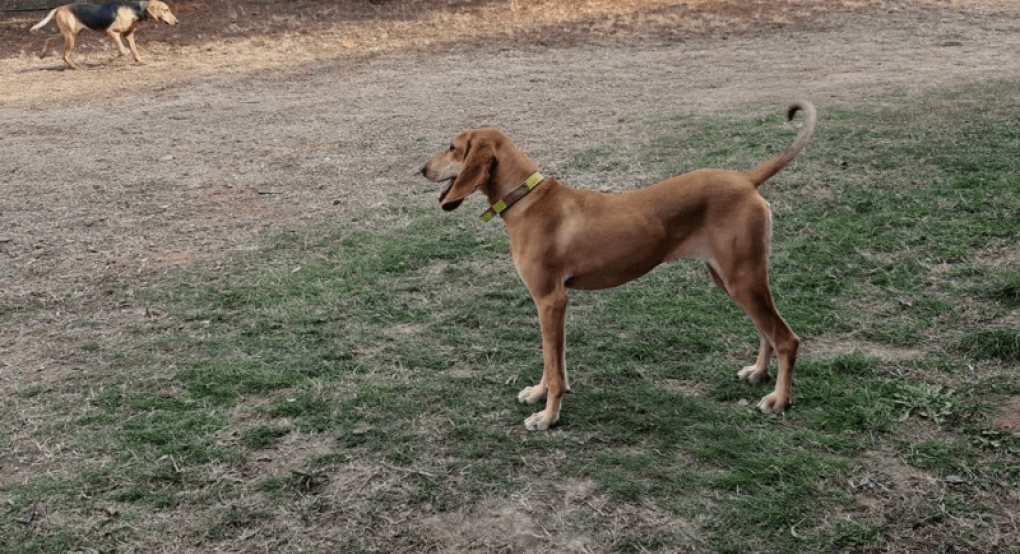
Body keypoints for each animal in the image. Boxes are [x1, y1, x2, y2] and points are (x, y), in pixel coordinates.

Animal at [29, 0, 179, 69]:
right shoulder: (112, 32)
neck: (137, 9)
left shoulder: (129, 35)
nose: (177, 22)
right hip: (71, 37)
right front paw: (117, 57)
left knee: (49, 39)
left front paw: (140, 61)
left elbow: (134, 50)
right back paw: (76, 67)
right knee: (64, 55)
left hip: (69, 34)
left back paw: (42, 54)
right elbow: (123, 50)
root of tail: (59, 7)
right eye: (166, 10)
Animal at [422, 103, 820, 432]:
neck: (527, 199)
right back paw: (758, 372)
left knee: (786, 338)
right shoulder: (553, 304)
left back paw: (779, 400)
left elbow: (552, 364)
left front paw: (547, 417)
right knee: (767, 330)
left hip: (742, 278)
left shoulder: (550, 300)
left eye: (453, 147)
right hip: (730, 278)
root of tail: (744, 178)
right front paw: (539, 394)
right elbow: (554, 362)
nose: (421, 169)